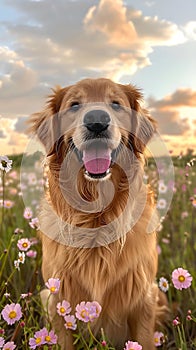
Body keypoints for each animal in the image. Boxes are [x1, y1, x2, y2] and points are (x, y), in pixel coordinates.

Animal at [29, 79, 165, 350]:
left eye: (116, 104)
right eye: (74, 105)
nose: (97, 121)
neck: (97, 215)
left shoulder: (143, 297)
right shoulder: (57, 298)